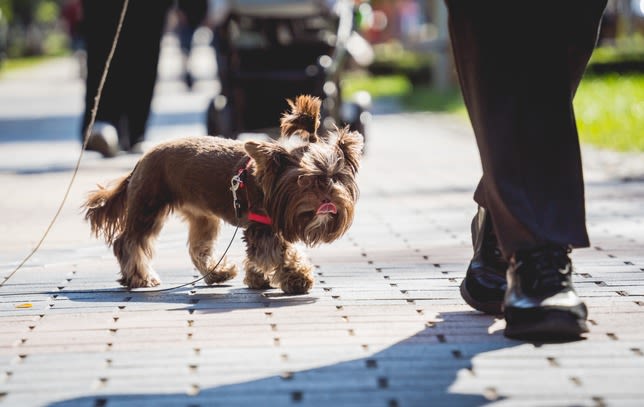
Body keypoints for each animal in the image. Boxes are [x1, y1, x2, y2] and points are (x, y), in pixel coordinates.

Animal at [83, 95, 362, 294]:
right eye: (306, 181)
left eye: (337, 178)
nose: (329, 200)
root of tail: (140, 161)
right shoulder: (263, 225)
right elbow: (280, 253)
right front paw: (298, 277)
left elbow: (259, 255)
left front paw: (257, 277)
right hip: (148, 206)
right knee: (129, 242)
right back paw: (140, 277)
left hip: (202, 216)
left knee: (198, 247)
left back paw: (218, 273)